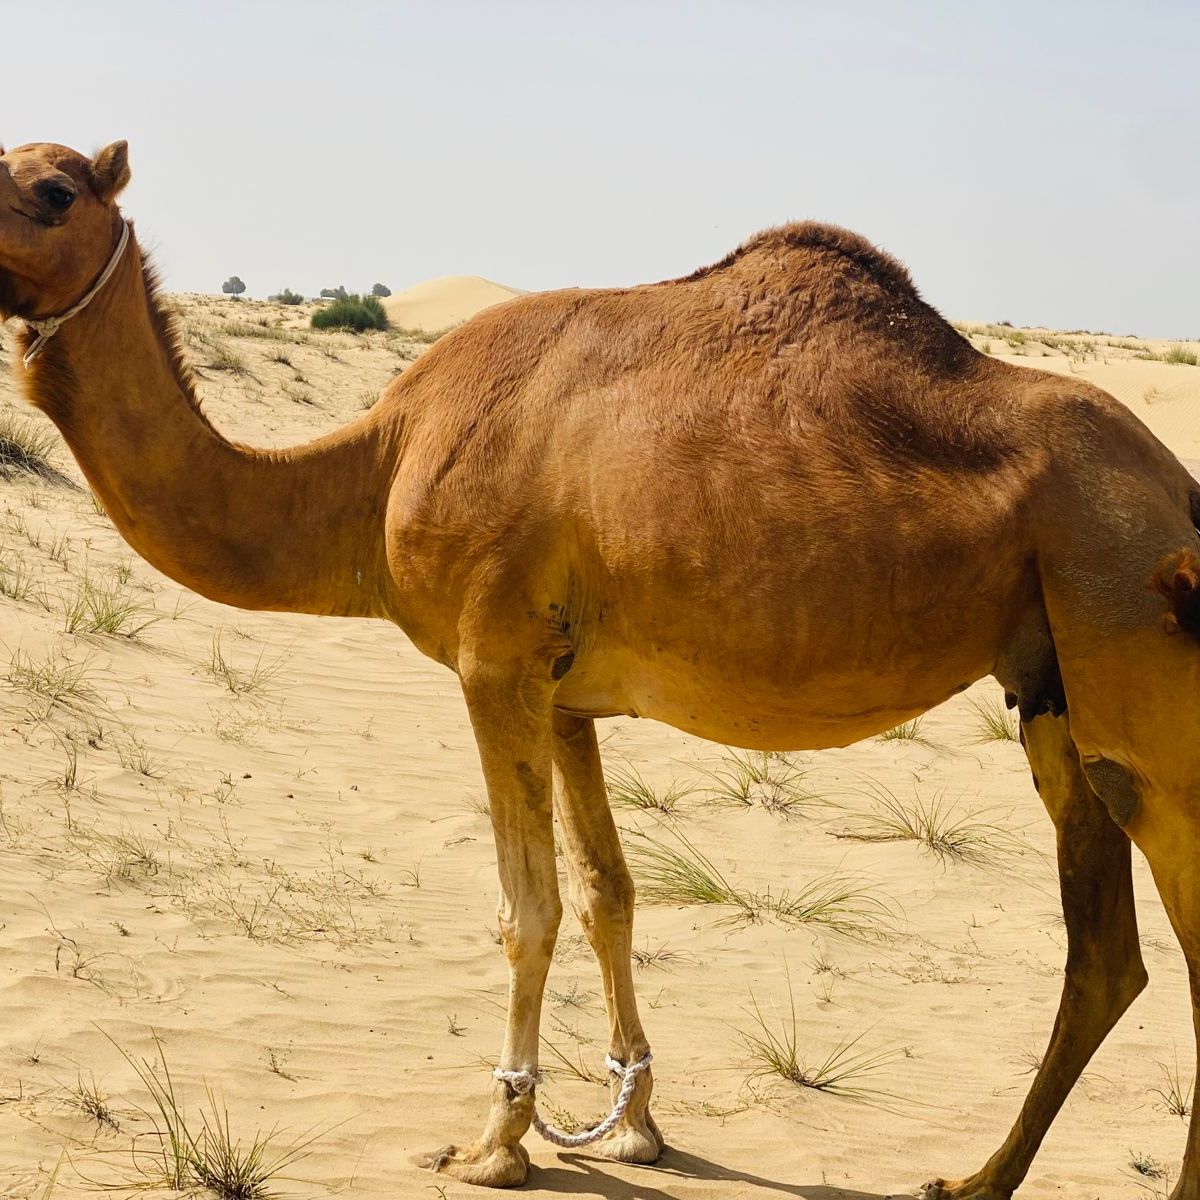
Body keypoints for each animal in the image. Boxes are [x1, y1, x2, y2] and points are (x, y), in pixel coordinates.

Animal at [2, 139, 1199, 1199]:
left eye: (54, 190)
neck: (377, 465)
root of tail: (1175, 487)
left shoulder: (492, 661)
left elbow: (526, 907)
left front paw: (496, 1143)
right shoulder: (565, 689)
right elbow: (607, 893)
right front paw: (634, 1127)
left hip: (1126, 615)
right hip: (1052, 685)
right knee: (1105, 953)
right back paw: (974, 1178)